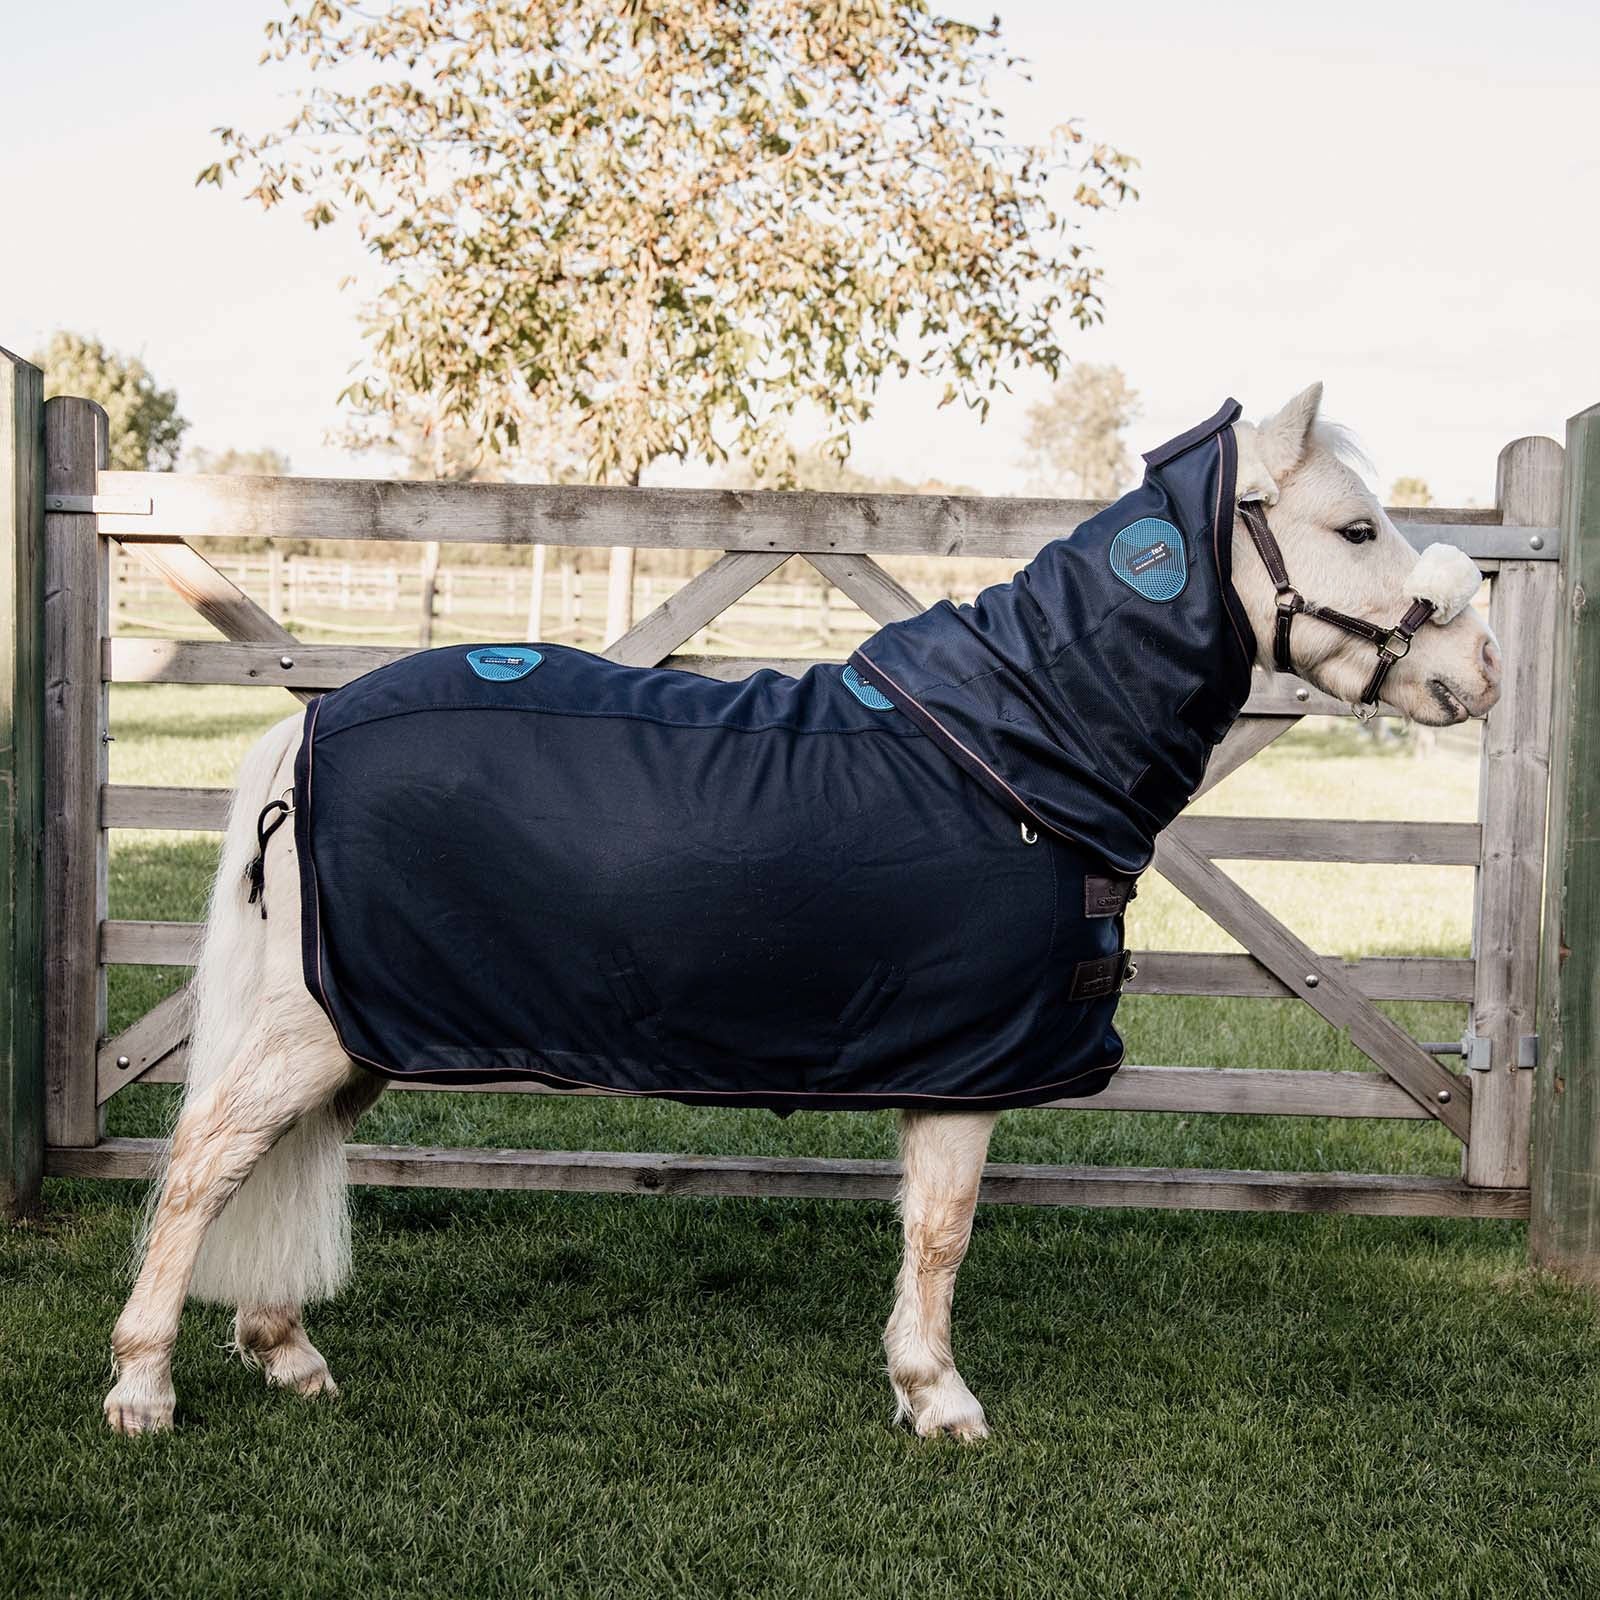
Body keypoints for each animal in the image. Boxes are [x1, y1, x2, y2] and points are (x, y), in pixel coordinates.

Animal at [102, 383, 1502, 1438]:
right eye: (1356, 529)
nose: (1477, 668)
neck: (1018, 746)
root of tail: (308, 726)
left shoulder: (956, 1054)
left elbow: (930, 1230)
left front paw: (921, 1389)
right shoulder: (971, 1061)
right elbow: (942, 1232)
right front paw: (941, 1399)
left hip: (368, 1029)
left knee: (265, 1160)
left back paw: (285, 1352)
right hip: (310, 1029)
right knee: (203, 1162)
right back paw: (142, 1386)